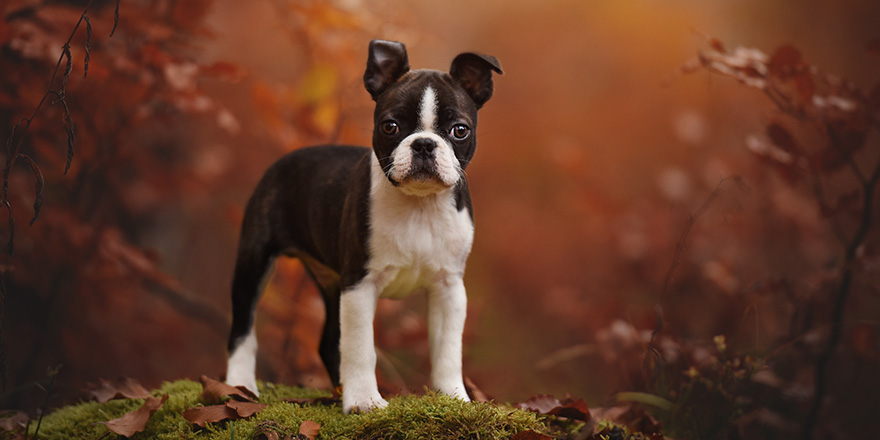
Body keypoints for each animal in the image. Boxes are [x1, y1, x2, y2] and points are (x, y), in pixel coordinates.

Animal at [223, 39, 502, 414]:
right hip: (255, 259)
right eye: (390, 126)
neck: (419, 206)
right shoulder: (359, 284)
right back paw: (240, 386)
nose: (424, 143)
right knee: (242, 327)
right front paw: (364, 400)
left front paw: (454, 397)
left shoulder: (449, 287)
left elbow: (447, 351)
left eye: (460, 130)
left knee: (328, 341)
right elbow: (360, 347)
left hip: (330, 282)